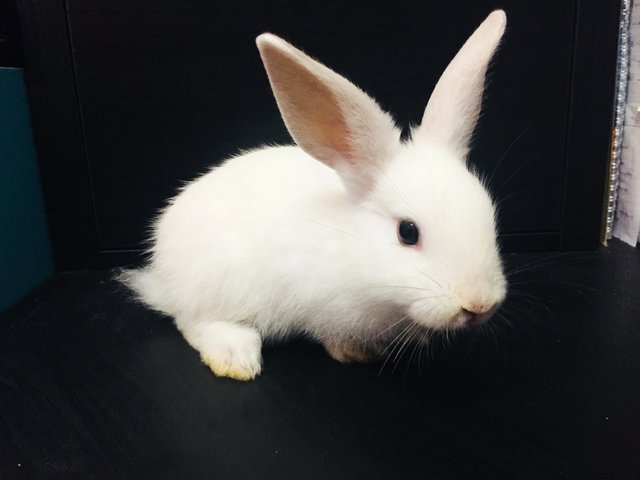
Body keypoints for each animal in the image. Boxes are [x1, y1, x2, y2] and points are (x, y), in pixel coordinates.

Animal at [122, 9, 508, 380]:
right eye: (407, 232)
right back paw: (234, 356)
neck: (350, 244)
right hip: (218, 284)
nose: (478, 305)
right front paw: (356, 352)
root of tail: (162, 273)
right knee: (192, 320)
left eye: (490, 217)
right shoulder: (323, 305)